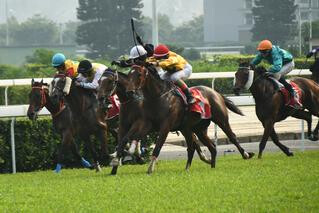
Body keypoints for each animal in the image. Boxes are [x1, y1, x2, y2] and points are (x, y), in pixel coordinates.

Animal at [126, 63, 254, 173]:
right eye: (129, 74)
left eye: (139, 74)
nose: (130, 92)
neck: (158, 97)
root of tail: (216, 93)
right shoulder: (149, 124)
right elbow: (135, 136)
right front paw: (133, 152)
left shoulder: (165, 126)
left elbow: (158, 146)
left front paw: (150, 168)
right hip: (197, 129)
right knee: (210, 147)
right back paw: (209, 166)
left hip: (221, 120)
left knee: (232, 136)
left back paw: (246, 154)